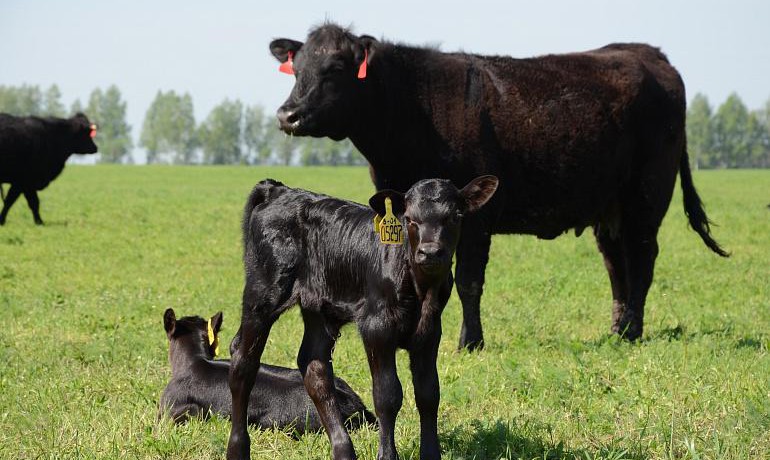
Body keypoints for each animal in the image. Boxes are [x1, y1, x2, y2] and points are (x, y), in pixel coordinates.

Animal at [225, 174, 498, 458]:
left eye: (456, 216)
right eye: (409, 218)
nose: (430, 252)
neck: (421, 290)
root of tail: (279, 190)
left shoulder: (430, 332)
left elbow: (428, 394)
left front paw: (431, 454)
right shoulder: (376, 327)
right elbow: (387, 395)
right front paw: (387, 454)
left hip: (319, 308)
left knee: (314, 366)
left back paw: (344, 450)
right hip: (263, 293)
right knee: (244, 362)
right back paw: (238, 448)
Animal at [268, 24, 728, 348]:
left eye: (335, 69)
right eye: (298, 69)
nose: (287, 114)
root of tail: (648, 52)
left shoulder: (475, 216)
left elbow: (469, 281)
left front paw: (469, 342)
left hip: (646, 195)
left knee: (643, 258)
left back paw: (632, 330)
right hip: (609, 205)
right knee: (617, 264)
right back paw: (617, 329)